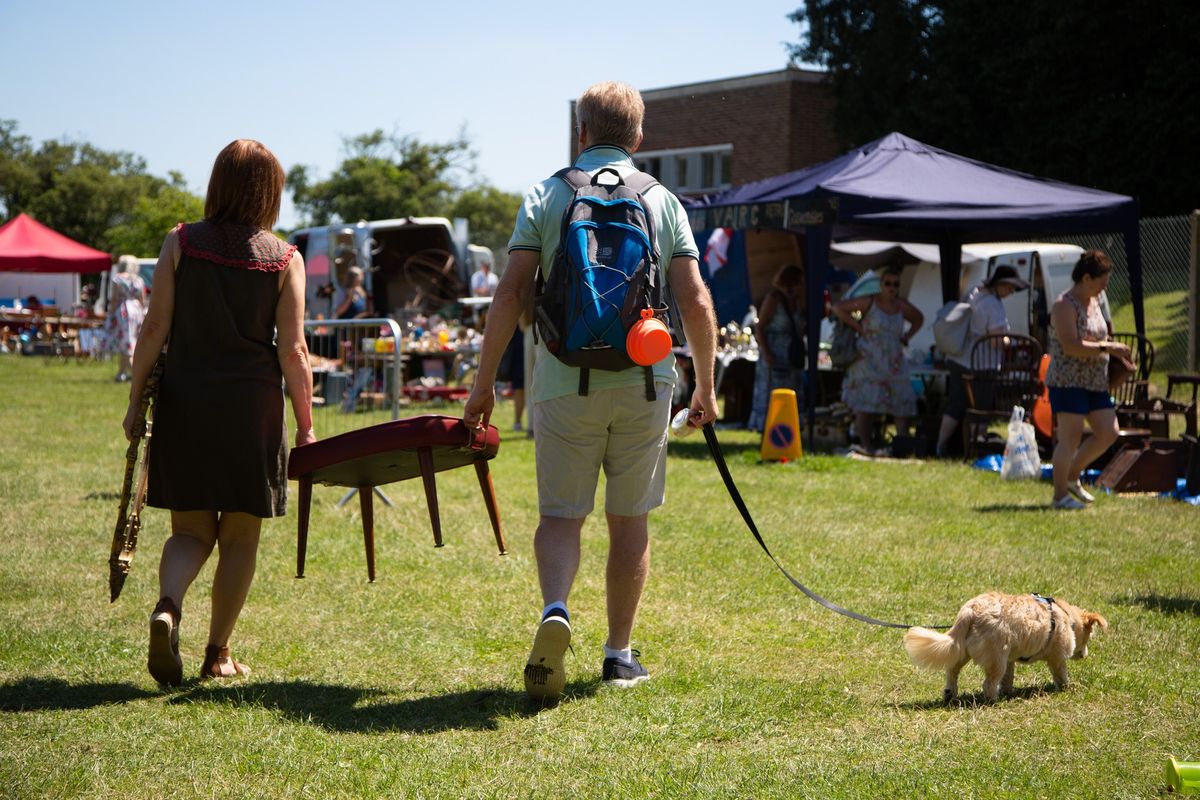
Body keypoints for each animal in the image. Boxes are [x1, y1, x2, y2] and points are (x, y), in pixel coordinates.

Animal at [902, 592, 1104, 705]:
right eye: (1089, 636)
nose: (1084, 655)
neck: (1064, 615)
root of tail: (971, 610)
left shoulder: (1011, 659)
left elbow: (1008, 678)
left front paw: (1008, 691)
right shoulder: (1057, 657)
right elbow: (1061, 675)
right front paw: (1066, 689)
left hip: (962, 650)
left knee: (952, 671)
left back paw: (951, 693)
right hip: (996, 658)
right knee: (988, 683)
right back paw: (993, 700)